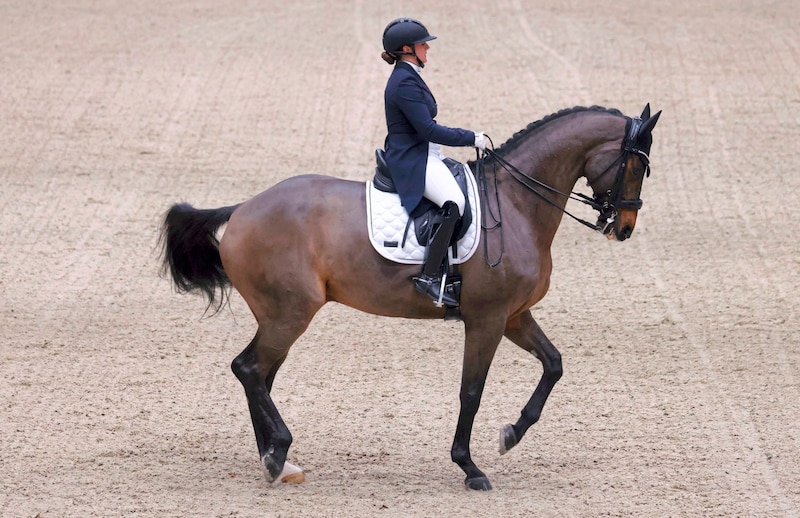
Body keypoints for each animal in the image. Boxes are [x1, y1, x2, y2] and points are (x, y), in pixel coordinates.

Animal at [158, 104, 664, 492]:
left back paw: (277, 462)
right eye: (637, 166)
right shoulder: (488, 319)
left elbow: (554, 364)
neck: (517, 205)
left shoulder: (514, 316)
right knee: (249, 369)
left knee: (258, 375)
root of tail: (243, 209)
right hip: (290, 315)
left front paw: (511, 434)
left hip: (278, 317)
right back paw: (278, 451)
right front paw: (470, 466)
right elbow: (471, 391)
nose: (624, 228)